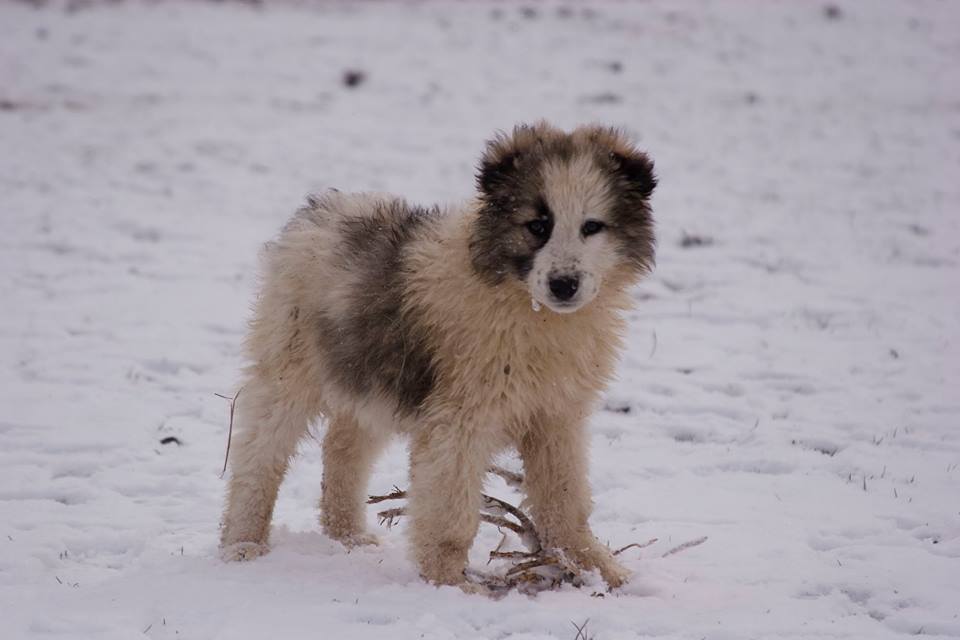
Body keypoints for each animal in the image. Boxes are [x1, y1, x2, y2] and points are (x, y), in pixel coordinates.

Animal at [220, 122, 656, 588]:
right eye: (538, 225)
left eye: (593, 226)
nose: (564, 284)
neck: (526, 306)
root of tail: (319, 210)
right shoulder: (459, 419)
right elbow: (452, 511)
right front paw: (450, 582)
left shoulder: (557, 417)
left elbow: (565, 500)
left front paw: (596, 569)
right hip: (291, 364)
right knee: (259, 454)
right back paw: (242, 544)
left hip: (370, 374)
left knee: (343, 447)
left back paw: (348, 535)